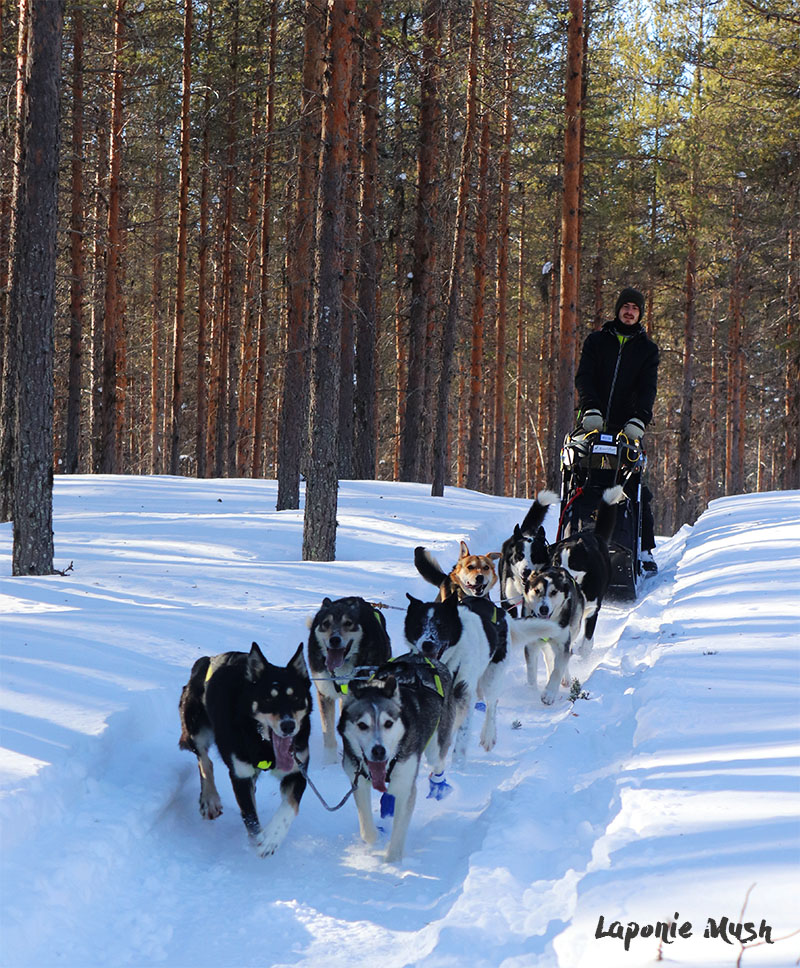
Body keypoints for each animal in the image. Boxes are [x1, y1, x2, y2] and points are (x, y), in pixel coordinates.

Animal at [180, 644, 310, 856]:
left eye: (296, 697)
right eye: (268, 699)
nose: (288, 725)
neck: (263, 743)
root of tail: (208, 659)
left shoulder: (297, 772)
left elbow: (288, 808)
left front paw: (271, 837)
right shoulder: (240, 776)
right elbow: (250, 819)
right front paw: (258, 839)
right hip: (195, 729)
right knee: (204, 761)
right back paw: (209, 799)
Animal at [334, 652, 454, 864]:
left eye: (388, 723)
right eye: (362, 725)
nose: (379, 751)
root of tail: (421, 656)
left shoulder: (406, 785)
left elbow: (399, 832)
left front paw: (391, 861)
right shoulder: (357, 780)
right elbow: (367, 829)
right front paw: (375, 836)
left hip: (436, 746)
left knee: (437, 762)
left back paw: (438, 786)